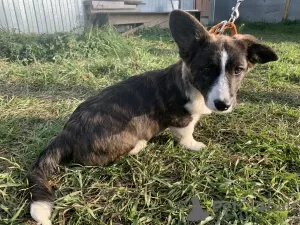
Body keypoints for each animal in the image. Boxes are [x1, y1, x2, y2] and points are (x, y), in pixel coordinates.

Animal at [28, 9, 278, 225]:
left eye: (238, 70)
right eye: (206, 70)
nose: (223, 105)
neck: (193, 86)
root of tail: (66, 134)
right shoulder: (182, 118)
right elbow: (186, 133)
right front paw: (194, 145)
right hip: (125, 134)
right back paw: (138, 146)